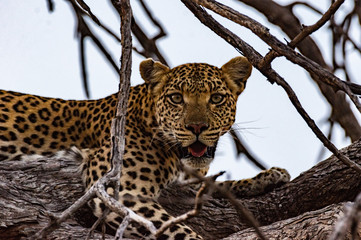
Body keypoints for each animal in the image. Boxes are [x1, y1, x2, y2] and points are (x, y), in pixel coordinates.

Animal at [0, 57, 290, 239]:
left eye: (217, 98)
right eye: (176, 98)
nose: (197, 127)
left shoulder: (182, 184)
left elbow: (217, 185)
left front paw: (268, 176)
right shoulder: (120, 191)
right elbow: (176, 230)